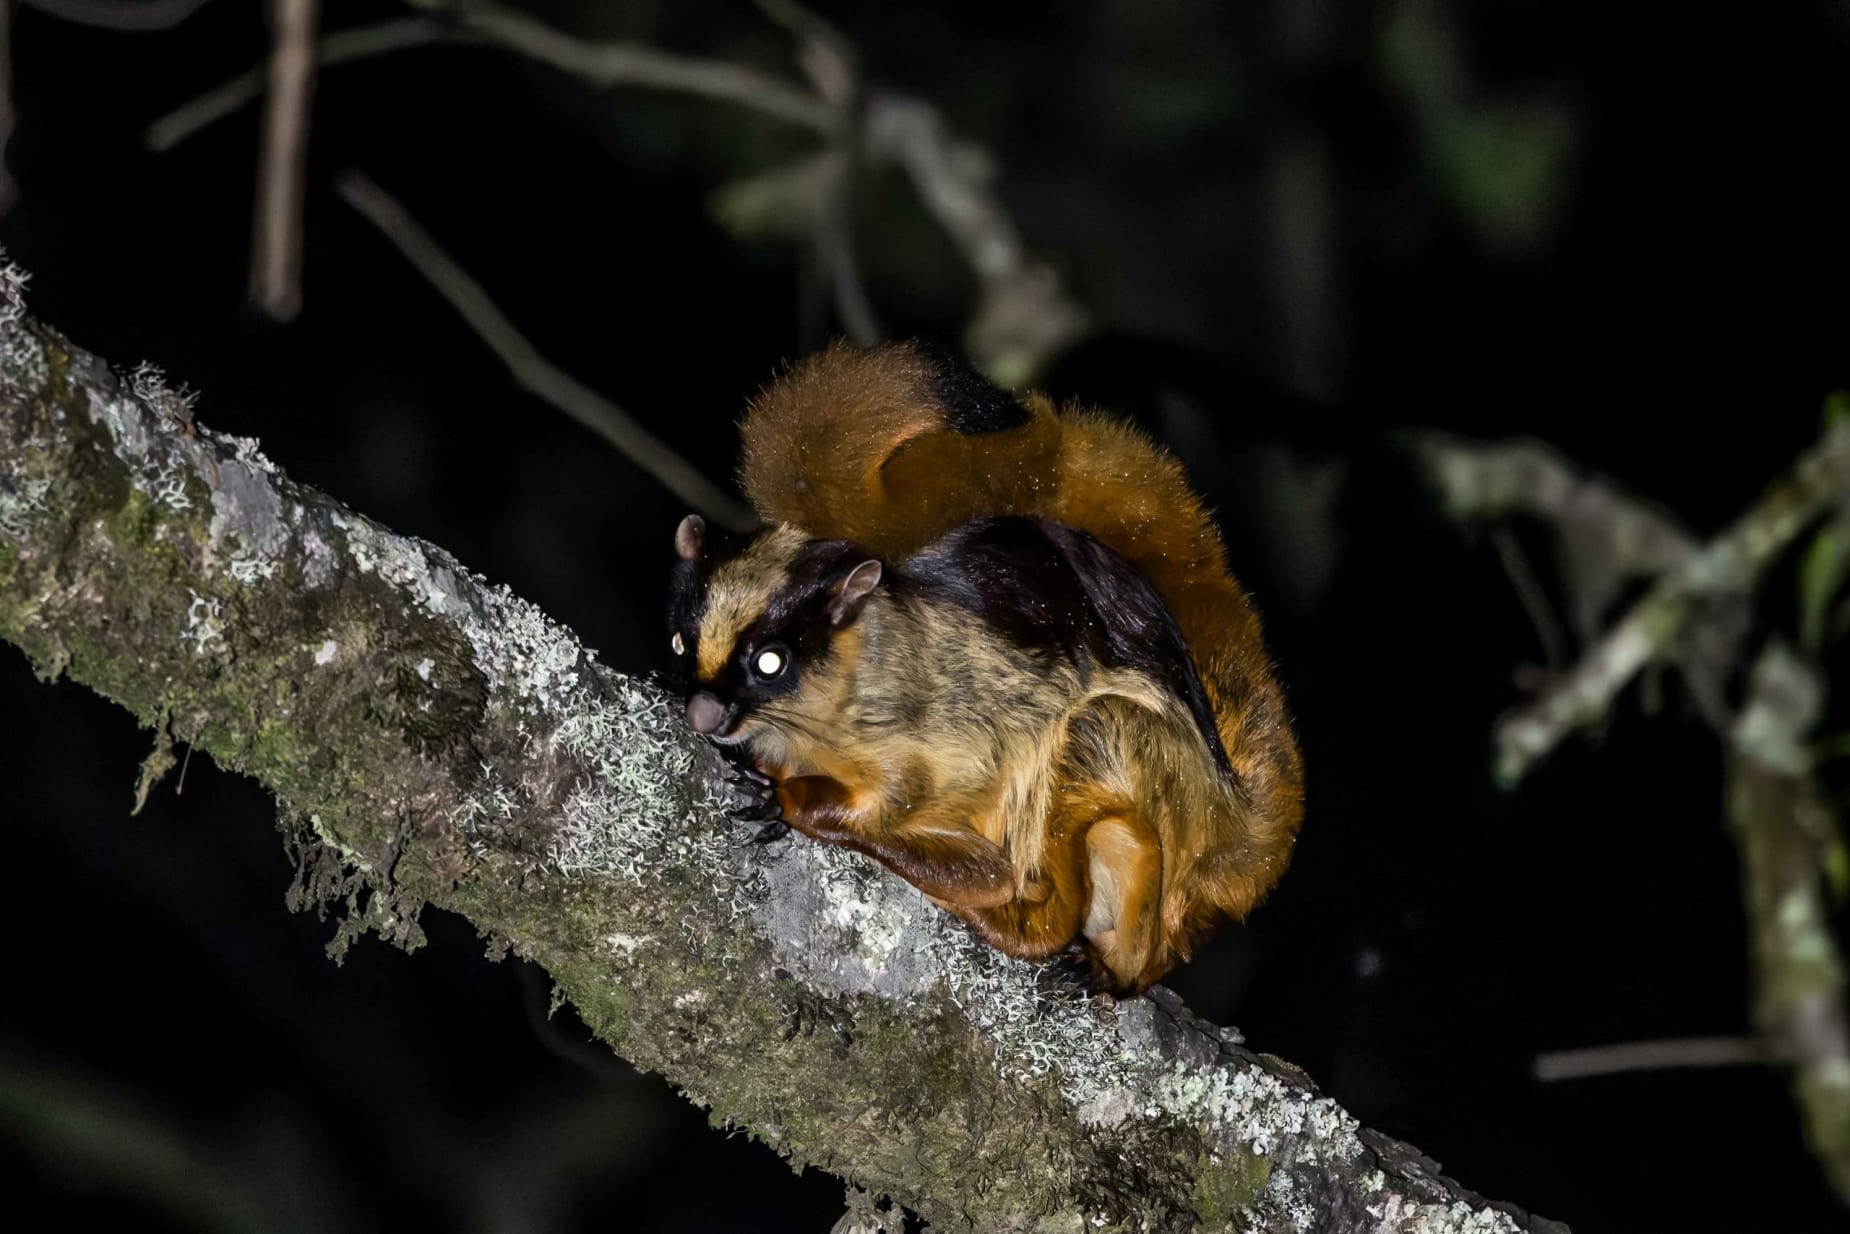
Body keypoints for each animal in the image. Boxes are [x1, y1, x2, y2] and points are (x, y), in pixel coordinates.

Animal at [666, 342, 1302, 994]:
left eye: (771, 662)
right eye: (679, 644)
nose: (701, 713)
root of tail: (1231, 840)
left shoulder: (949, 746)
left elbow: (907, 817)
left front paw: (788, 801)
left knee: (1084, 790)